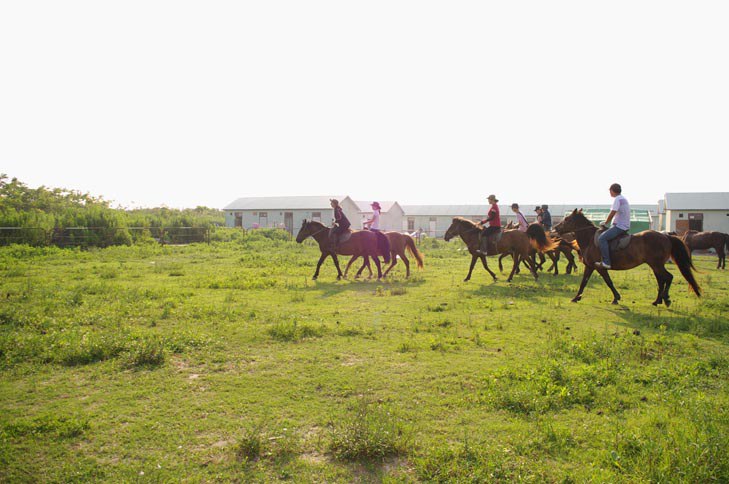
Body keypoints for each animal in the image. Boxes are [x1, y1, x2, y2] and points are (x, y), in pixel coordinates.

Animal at [540, 209, 700, 306]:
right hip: (655, 265)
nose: (555, 229)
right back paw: (658, 300)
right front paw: (577, 297)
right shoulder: (591, 266)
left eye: (567, 219)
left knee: (668, 278)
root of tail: (666, 236)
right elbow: (586, 282)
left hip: (656, 265)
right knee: (662, 280)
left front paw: (615, 298)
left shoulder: (597, 266)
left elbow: (605, 282)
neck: (590, 239)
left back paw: (665, 299)